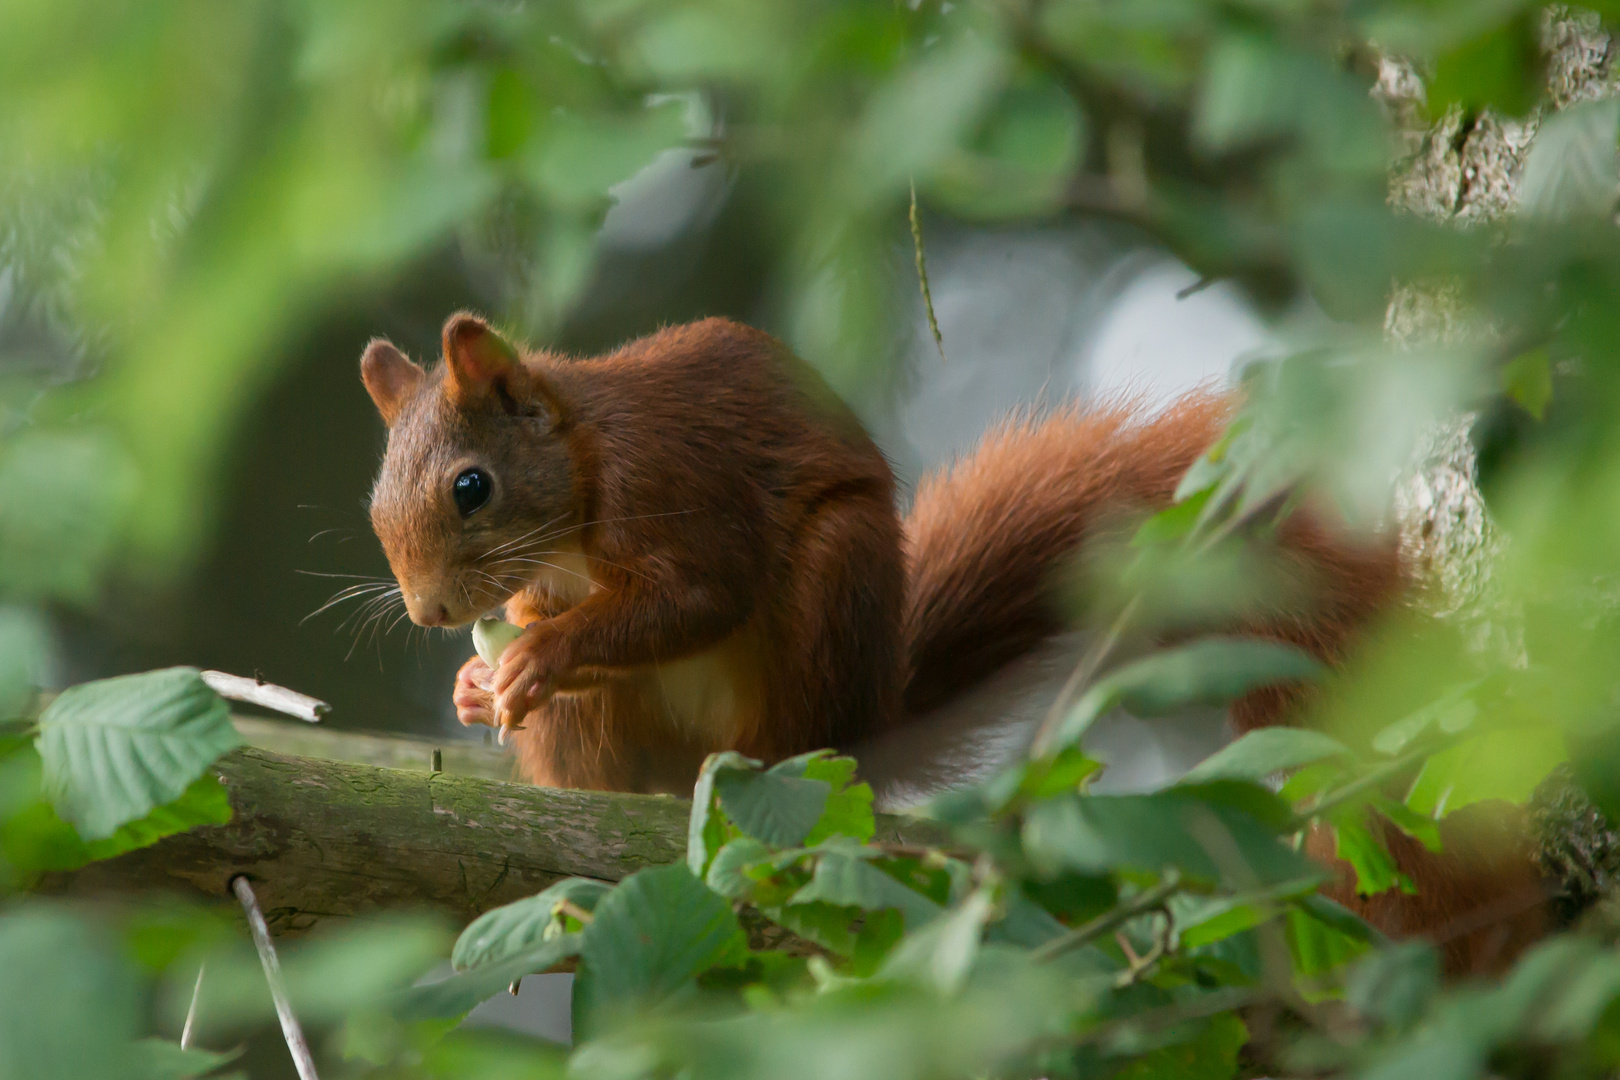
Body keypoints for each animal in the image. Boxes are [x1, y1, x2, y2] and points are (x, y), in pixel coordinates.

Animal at [364, 310, 1542, 971]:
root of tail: (870, 724)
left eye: (472, 488)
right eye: (376, 498)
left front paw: (538, 655)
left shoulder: (679, 493)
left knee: (786, 736)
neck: (579, 476)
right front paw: (478, 680)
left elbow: (693, 600)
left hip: (834, 594)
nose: (427, 614)